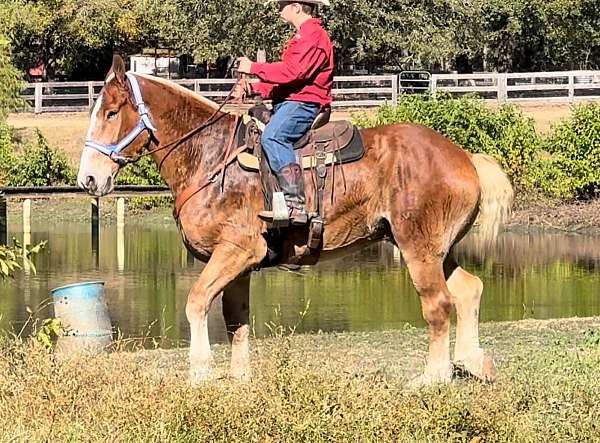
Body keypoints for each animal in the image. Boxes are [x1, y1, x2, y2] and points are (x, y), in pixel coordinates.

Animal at [77, 55, 512, 386]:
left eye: (112, 112)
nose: (89, 179)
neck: (210, 157)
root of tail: (465, 157)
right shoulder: (239, 266)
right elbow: (236, 320)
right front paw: (239, 379)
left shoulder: (235, 251)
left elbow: (197, 302)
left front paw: (200, 373)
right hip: (435, 250)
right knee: (469, 290)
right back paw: (473, 362)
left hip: (418, 249)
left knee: (438, 305)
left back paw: (433, 377)